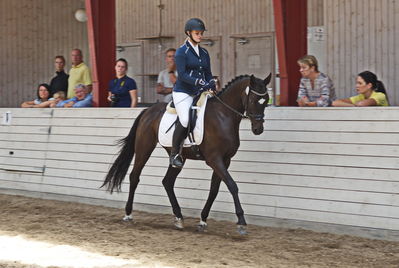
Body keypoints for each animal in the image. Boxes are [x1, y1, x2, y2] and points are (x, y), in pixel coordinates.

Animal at [102, 74, 272, 234]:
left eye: (266, 101)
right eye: (254, 100)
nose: (258, 129)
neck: (223, 115)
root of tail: (148, 110)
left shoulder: (225, 160)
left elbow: (214, 190)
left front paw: (203, 221)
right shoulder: (214, 159)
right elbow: (232, 186)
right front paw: (241, 222)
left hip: (178, 157)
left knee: (167, 181)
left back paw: (178, 217)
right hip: (144, 147)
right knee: (134, 176)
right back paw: (128, 214)